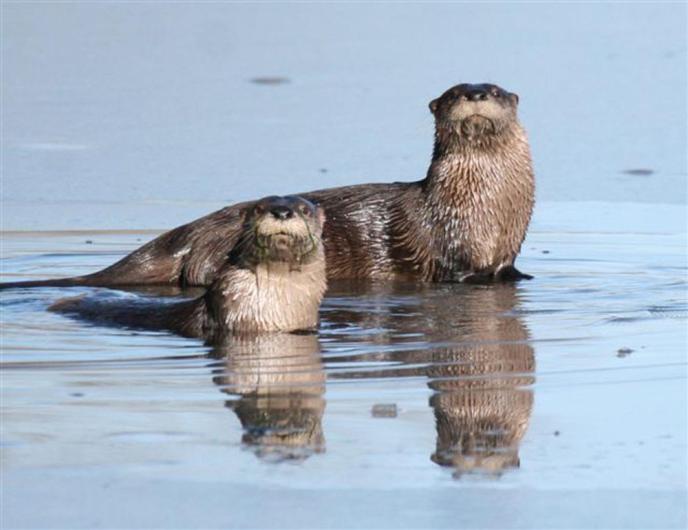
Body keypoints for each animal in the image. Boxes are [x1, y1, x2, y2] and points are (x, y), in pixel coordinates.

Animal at [1, 83, 534, 289]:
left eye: (495, 90)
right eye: (454, 94)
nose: (475, 95)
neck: (486, 205)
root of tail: (186, 237)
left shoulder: (504, 248)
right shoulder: (447, 243)